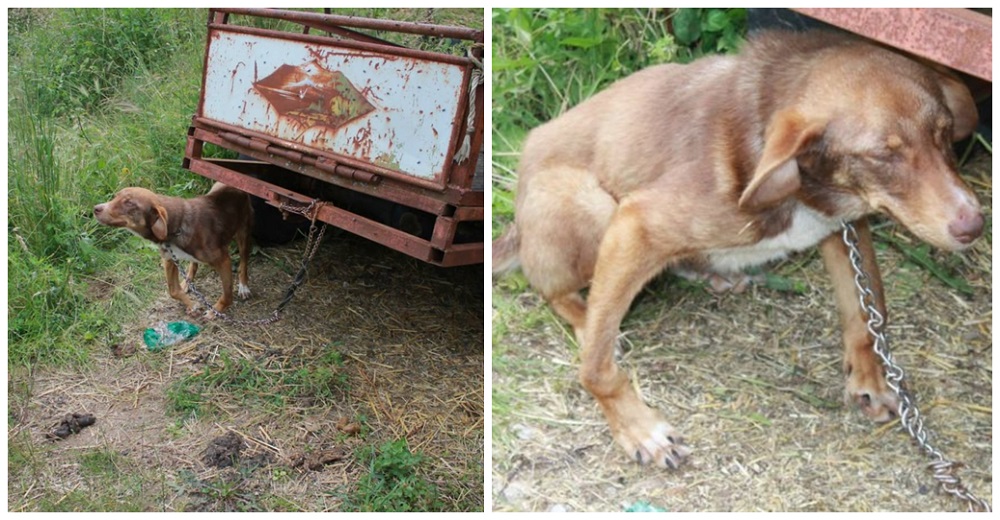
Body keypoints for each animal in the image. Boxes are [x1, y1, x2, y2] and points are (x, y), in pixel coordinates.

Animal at [95, 181, 254, 318]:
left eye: (129, 203)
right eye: (116, 196)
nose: (96, 208)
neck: (175, 228)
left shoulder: (223, 260)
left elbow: (227, 295)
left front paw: (215, 311)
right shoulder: (170, 259)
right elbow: (173, 291)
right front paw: (192, 305)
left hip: (243, 233)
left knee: (244, 261)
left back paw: (243, 286)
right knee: (193, 264)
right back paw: (188, 281)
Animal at [494, 31, 984, 472]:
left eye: (944, 135)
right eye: (883, 155)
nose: (974, 224)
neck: (801, 187)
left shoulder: (845, 229)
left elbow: (866, 313)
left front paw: (872, 377)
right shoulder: (635, 222)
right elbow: (597, 371)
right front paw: (639, 429)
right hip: (590, 203)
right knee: (553, 291)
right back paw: (588, 318)